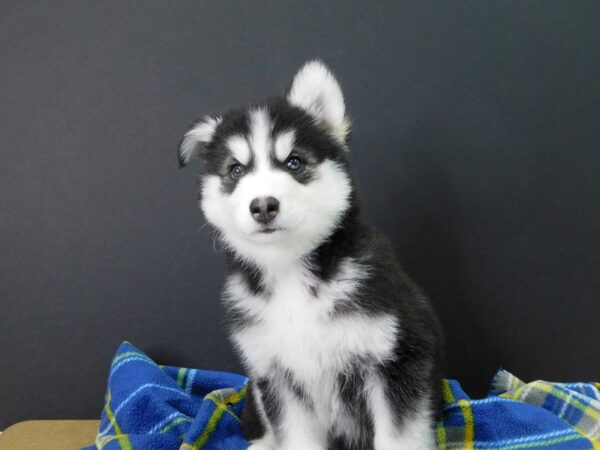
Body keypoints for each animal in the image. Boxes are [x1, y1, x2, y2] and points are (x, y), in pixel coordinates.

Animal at [177, 60, 440, 450]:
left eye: (294, 163)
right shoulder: (279, 377)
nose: (263, 206)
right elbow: (294, 435)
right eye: (236, 170)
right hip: (257, 384)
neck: (290, 271)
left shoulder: (396, 360)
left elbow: (399, 437)